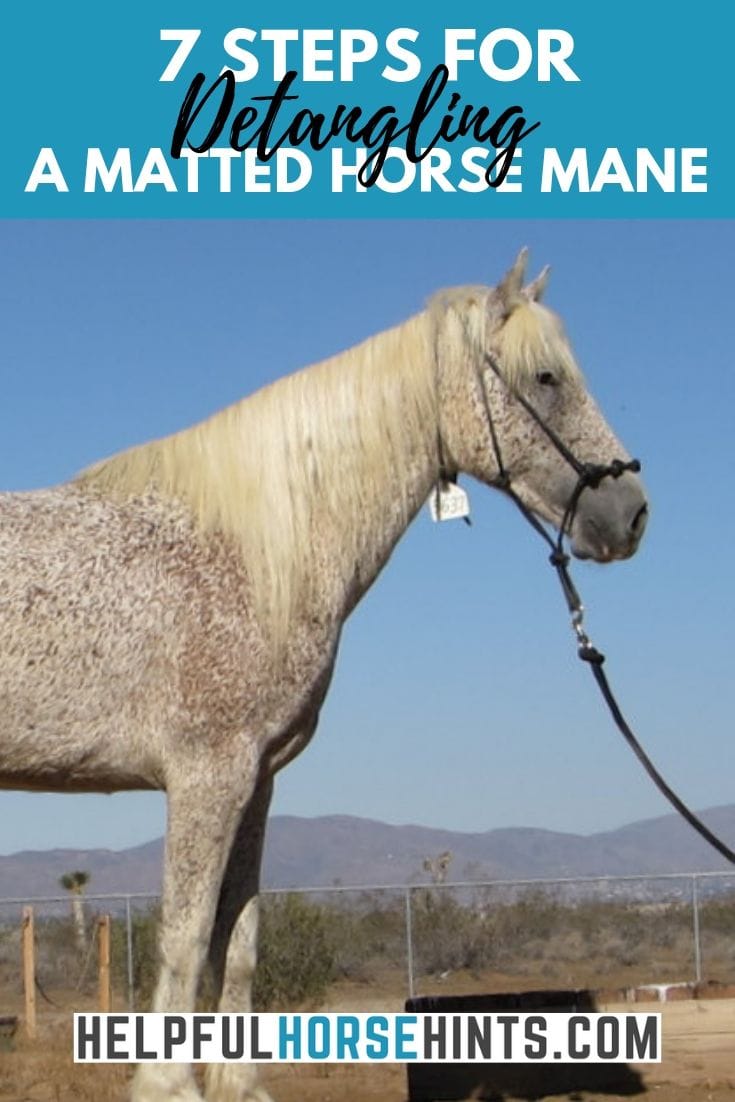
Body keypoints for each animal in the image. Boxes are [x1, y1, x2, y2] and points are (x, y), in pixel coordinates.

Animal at [0, 250, 647, 1101]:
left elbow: (238, 939)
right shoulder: (206, 775)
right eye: (545, 378)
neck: (252, 551)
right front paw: (167, 1083)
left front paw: (236, 1082)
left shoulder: (256, 780)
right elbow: (185, 935)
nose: (630, 512)